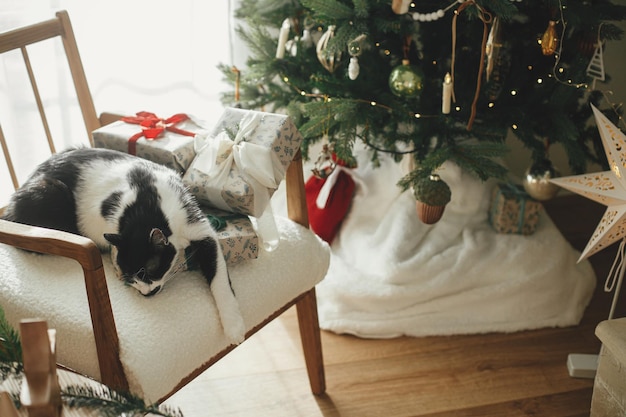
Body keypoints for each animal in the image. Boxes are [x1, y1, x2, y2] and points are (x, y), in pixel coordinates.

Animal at [3, 148, 246, 342]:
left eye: (148, 270)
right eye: (129, 277)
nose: (146, 293)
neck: (145, 209)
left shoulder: (197, 226)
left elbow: (218, 277)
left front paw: (233, 326)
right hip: (51, 190)